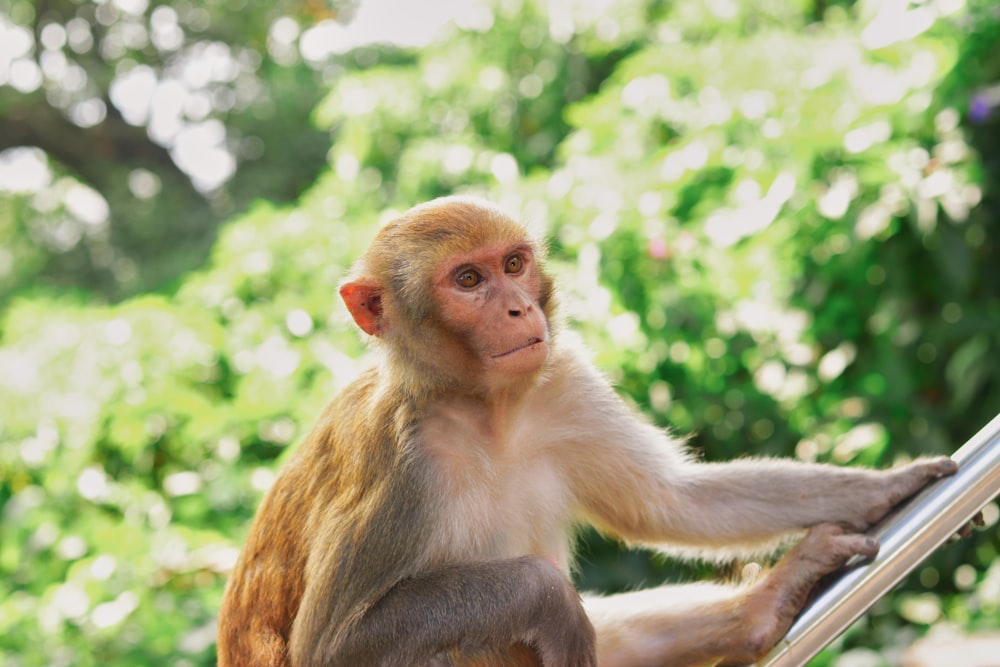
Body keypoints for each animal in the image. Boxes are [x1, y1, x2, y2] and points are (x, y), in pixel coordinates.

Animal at [217, 194, 952, 667]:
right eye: (468, 279)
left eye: (513, 264)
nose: (519, 309)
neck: (484, 411)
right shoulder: (399, 459)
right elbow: (335, 644)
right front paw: (548, 600)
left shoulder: (560, 384)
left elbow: (670, 501)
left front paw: (884, 486)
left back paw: (760, 610)